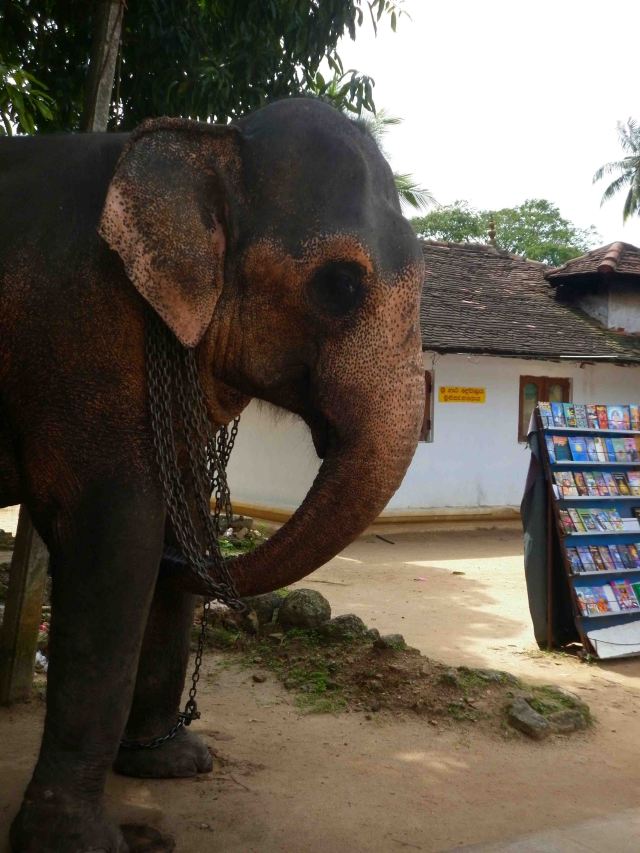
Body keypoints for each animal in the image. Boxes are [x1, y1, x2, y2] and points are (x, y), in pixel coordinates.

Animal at [0, 97, 424, 851]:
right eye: (340, 285)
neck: (206, 139)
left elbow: (179, 513)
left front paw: (173, 764)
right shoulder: (77, 335)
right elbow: (120, 537)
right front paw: (79, 844)